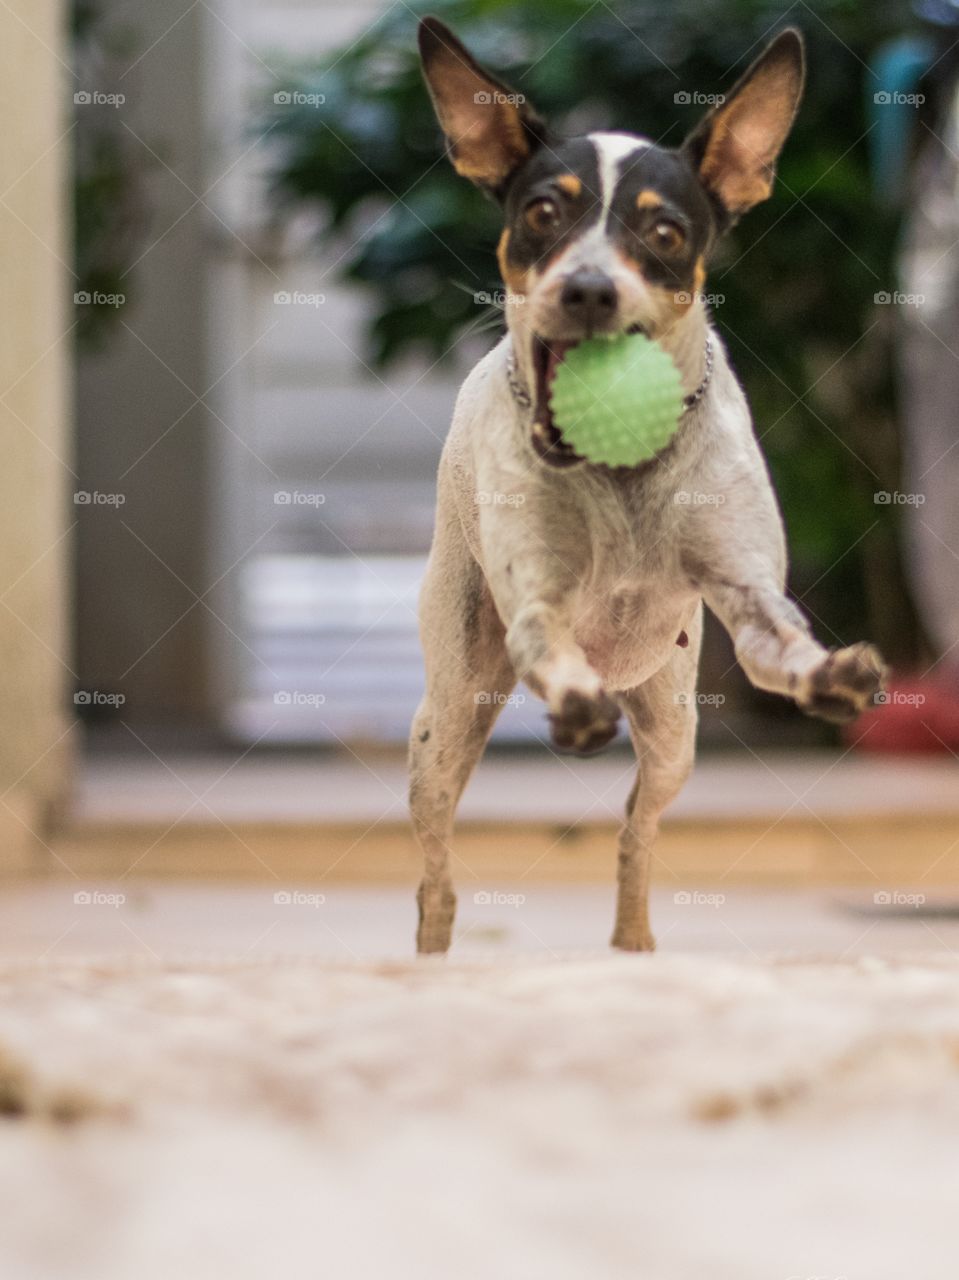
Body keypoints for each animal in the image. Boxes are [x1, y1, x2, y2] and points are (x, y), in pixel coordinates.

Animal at [407, 15, 886, 957]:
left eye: (662, 232)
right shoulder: (536, 609)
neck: (619, 472)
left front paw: (830, 676)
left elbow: (788, 650)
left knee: (637, 826)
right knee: (435, 864)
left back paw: (632, 943)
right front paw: (574, 700)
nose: (588, 288)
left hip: (673, 731)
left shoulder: (748, 602)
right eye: (542, 213)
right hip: (451, 717)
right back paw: (433, 951)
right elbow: (554, 650)